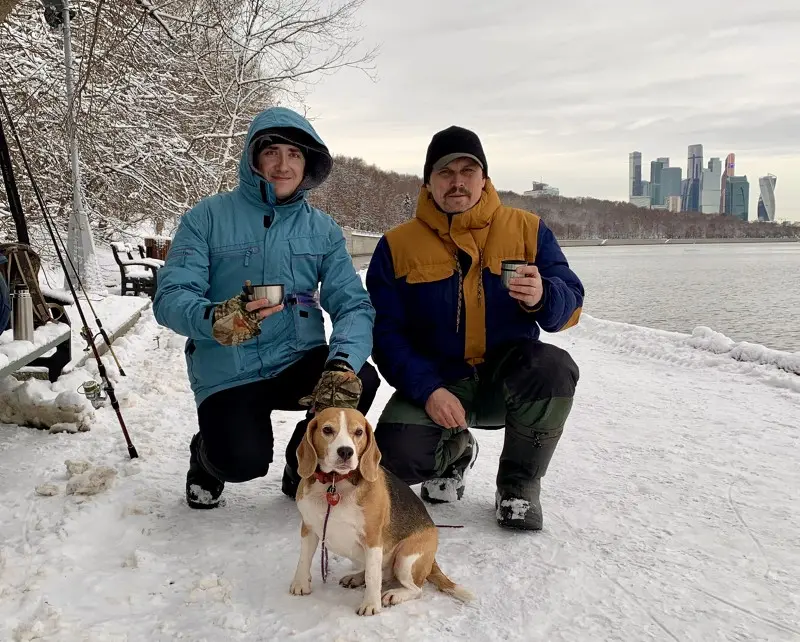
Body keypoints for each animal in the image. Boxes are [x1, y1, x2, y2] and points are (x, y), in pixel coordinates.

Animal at [290, 408, 472, 612]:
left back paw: (395, 594)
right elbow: (303, 559)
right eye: (327, 429)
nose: (346, 451)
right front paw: (300, 584)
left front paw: (371, 605)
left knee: (416, 589)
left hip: (405, 559)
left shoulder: (373, 540)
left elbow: (373, 577)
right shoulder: (308, 528)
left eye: (359, 432)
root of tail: (432, 560)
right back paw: (356, 577)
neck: (334, 483)